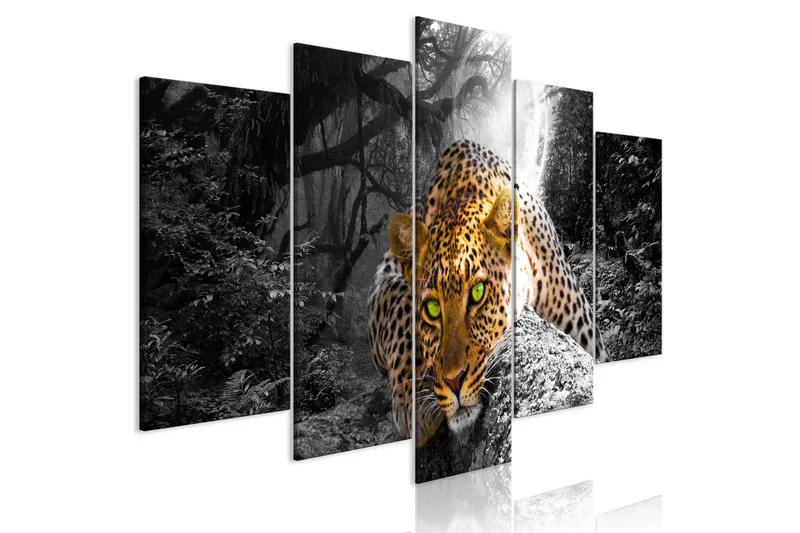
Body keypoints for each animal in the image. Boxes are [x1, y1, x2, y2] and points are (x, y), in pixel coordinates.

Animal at [369, 139, 608, 445]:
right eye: (432, 308)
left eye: (478, 292)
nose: (453, 379)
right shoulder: (384, 274)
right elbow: (397, 303)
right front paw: (414, 399)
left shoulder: (589, 337)